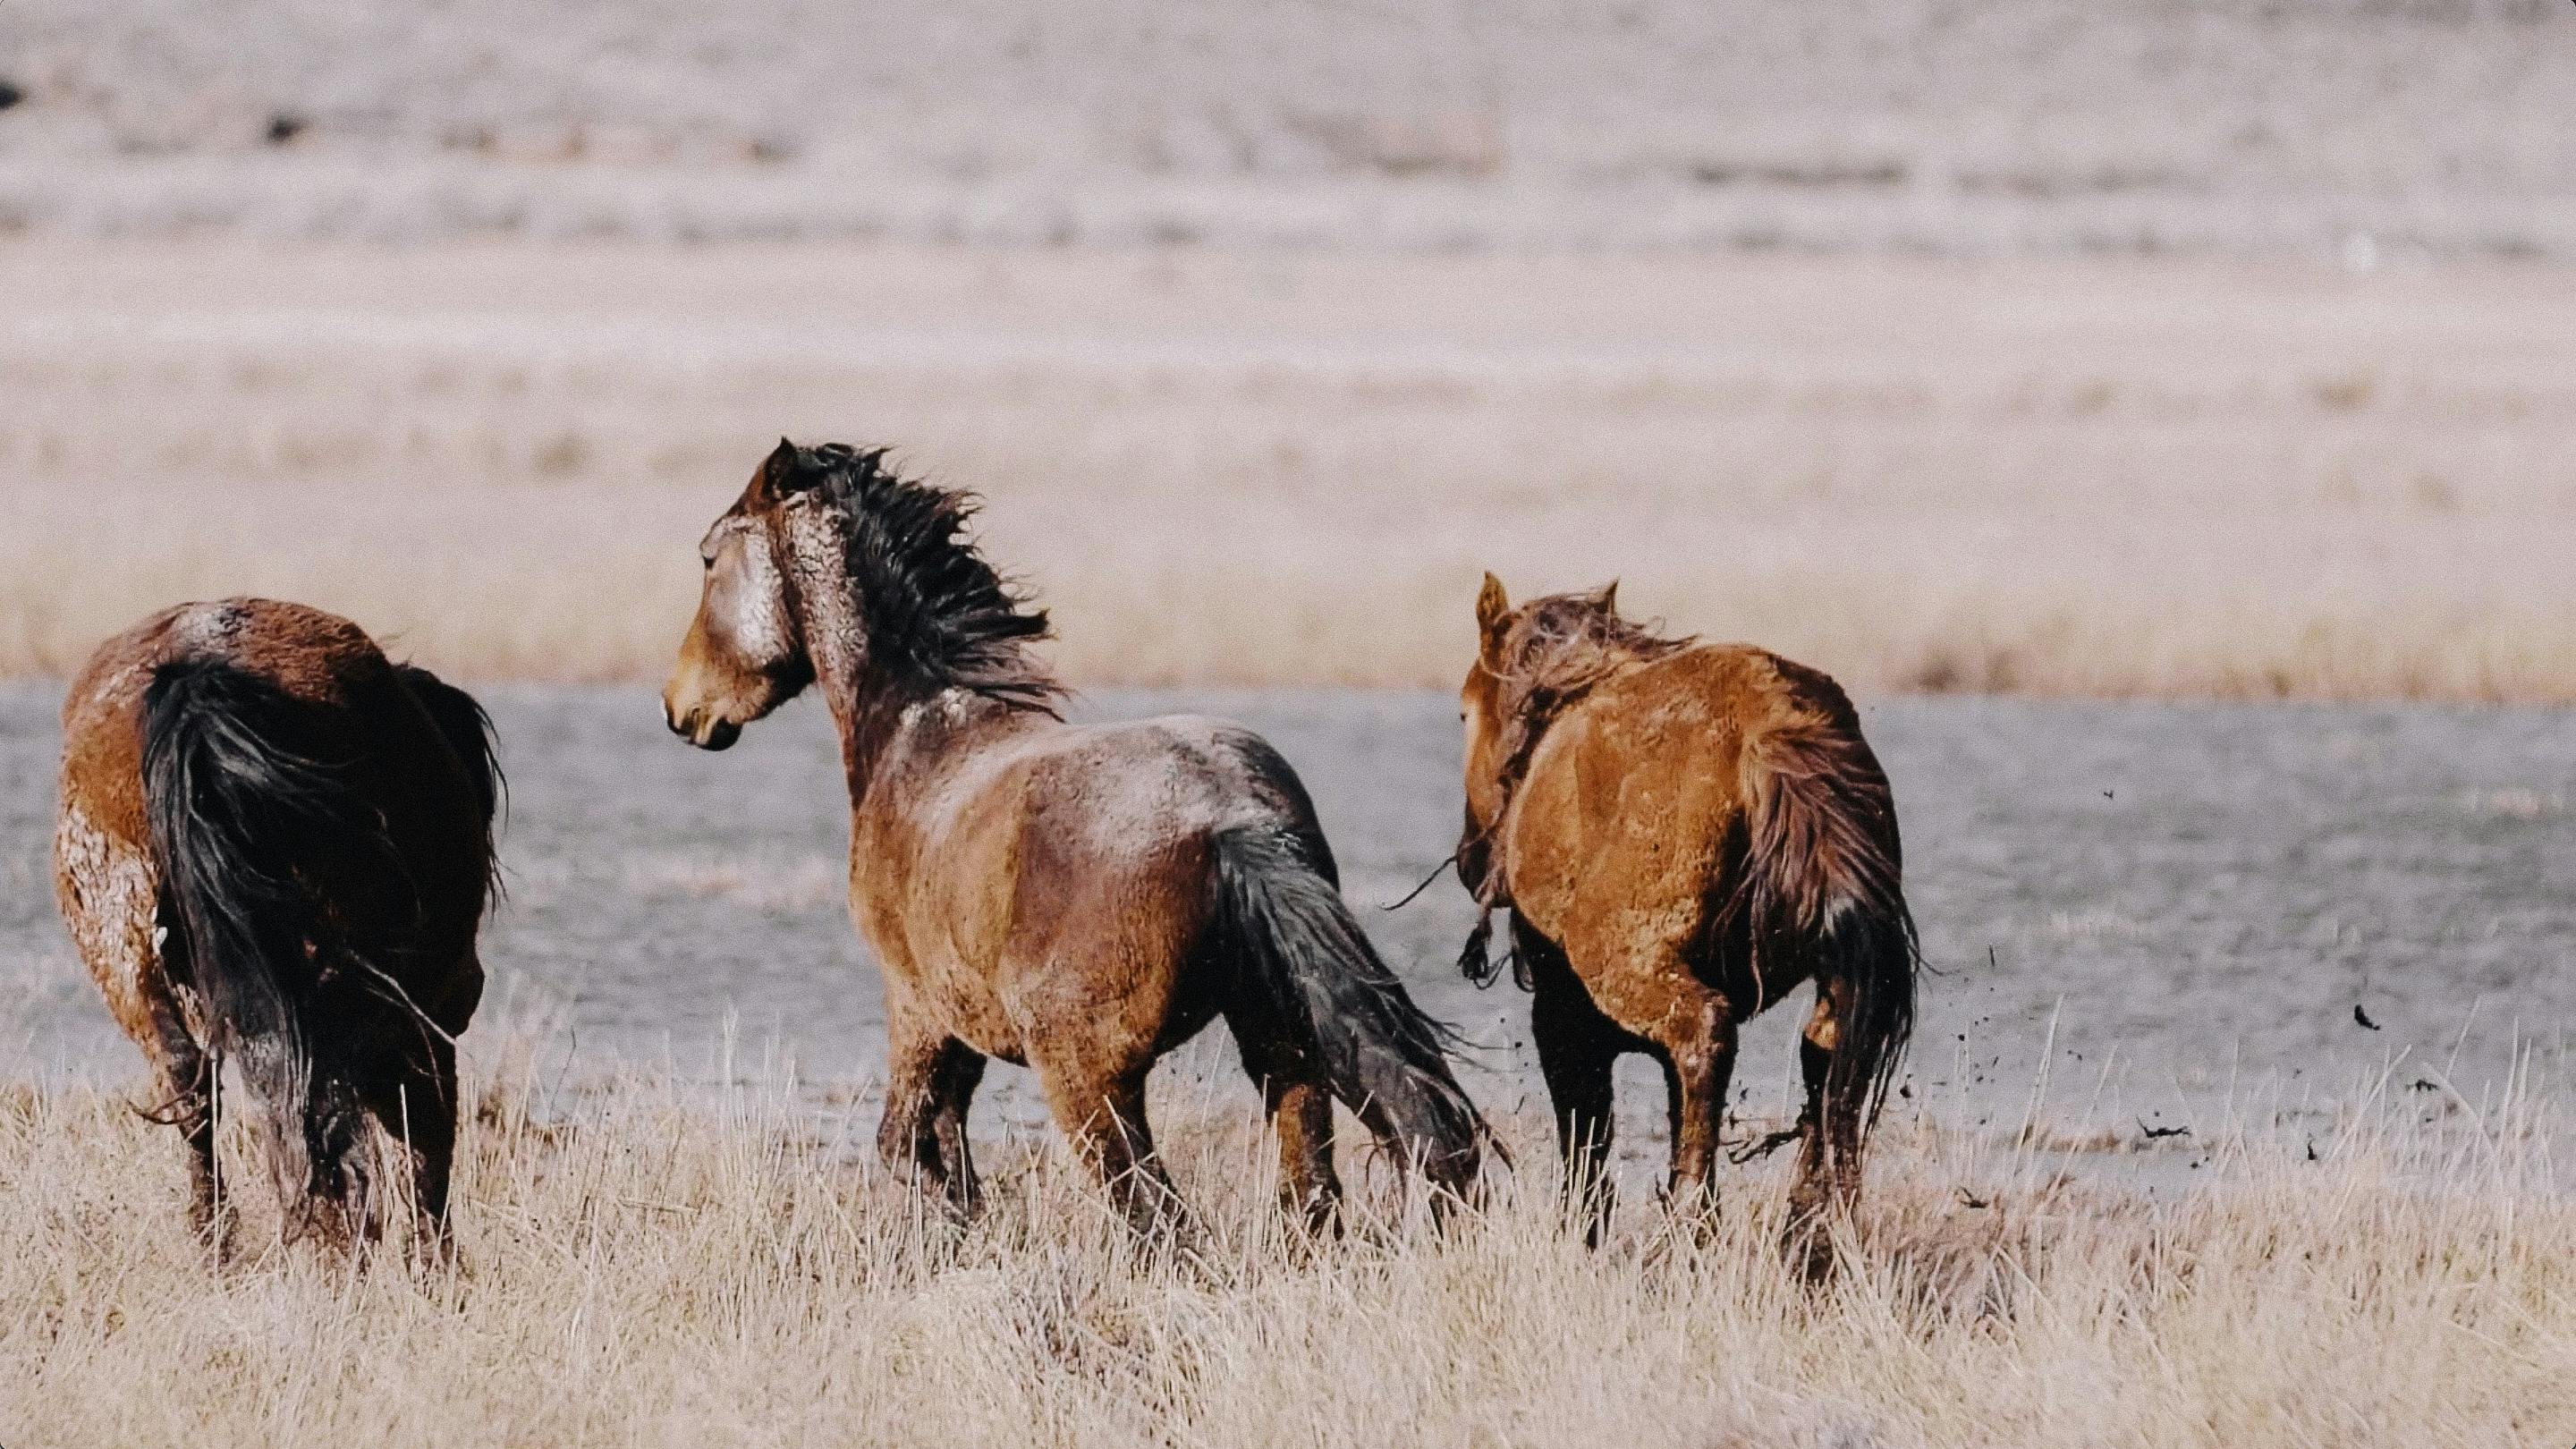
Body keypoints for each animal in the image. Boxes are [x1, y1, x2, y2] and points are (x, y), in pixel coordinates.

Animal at [54, 592, 502, 1248]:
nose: (474, 988)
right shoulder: (417, 1019)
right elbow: (423, 1148)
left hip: (125, 951)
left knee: (196, 1086)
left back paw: (222, 1243)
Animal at [654, 443, 1483, 1227]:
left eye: (707, 558)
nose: (680, 707)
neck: (922, 732)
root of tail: (1233, 821)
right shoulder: (964, 1027)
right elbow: (947, 1151)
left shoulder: (917, 1011)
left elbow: (906, 1146)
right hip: (1285, 1048)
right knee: (1308, 1195)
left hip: (1088, 1079)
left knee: (1158, 1216)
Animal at [1453, 570, 1916, 1258]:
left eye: (1463, 710)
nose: (1469, 858)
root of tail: (1768, 727)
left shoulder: (1563, 1013)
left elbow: (1586, 1134)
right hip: (1839, 975)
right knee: (1828, 1061)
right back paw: (1807, 1232)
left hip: (1631, 967)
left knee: (1706, 1034)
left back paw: (1695, 1218)